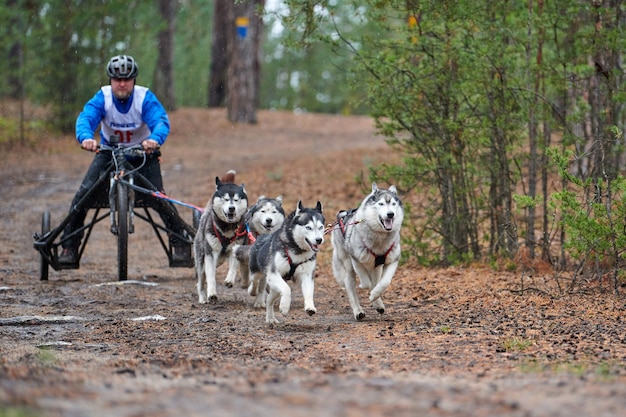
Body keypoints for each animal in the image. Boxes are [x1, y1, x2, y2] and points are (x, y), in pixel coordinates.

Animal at [330, 180, 402, 320]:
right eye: (381, 204)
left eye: (393, 204)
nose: (390, 214)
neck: (380, 238)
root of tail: (341, 216)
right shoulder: (356, 260)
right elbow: (366, 282)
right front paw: (365, 287)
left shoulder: (392, 261)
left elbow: (384, 282)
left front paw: (375, 295)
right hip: (348, 267)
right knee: (351, 288)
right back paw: (358, 311)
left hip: (377, 268)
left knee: (375, 281)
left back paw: (378, 303)